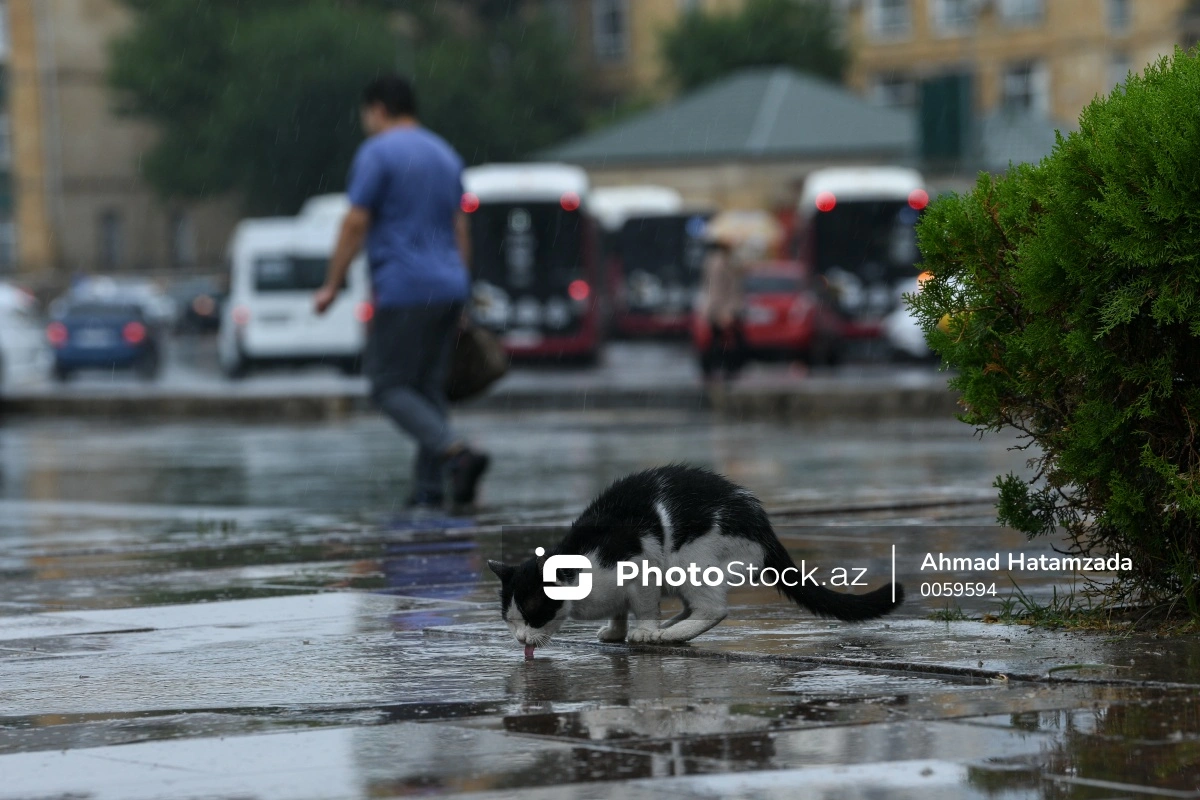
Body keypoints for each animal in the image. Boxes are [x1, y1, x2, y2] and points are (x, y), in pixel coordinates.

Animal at [484, 465, 902, 647]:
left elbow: (642, 605)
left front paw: (643, 630)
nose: (520, 639)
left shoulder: (638, 564)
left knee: (713, 609)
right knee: (692, 606)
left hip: (690, 559)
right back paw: (671, 628)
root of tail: (762, 524)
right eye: (509, 621)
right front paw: (617, 630)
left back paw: (664, 635)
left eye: (534, 616)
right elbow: (620, 610)